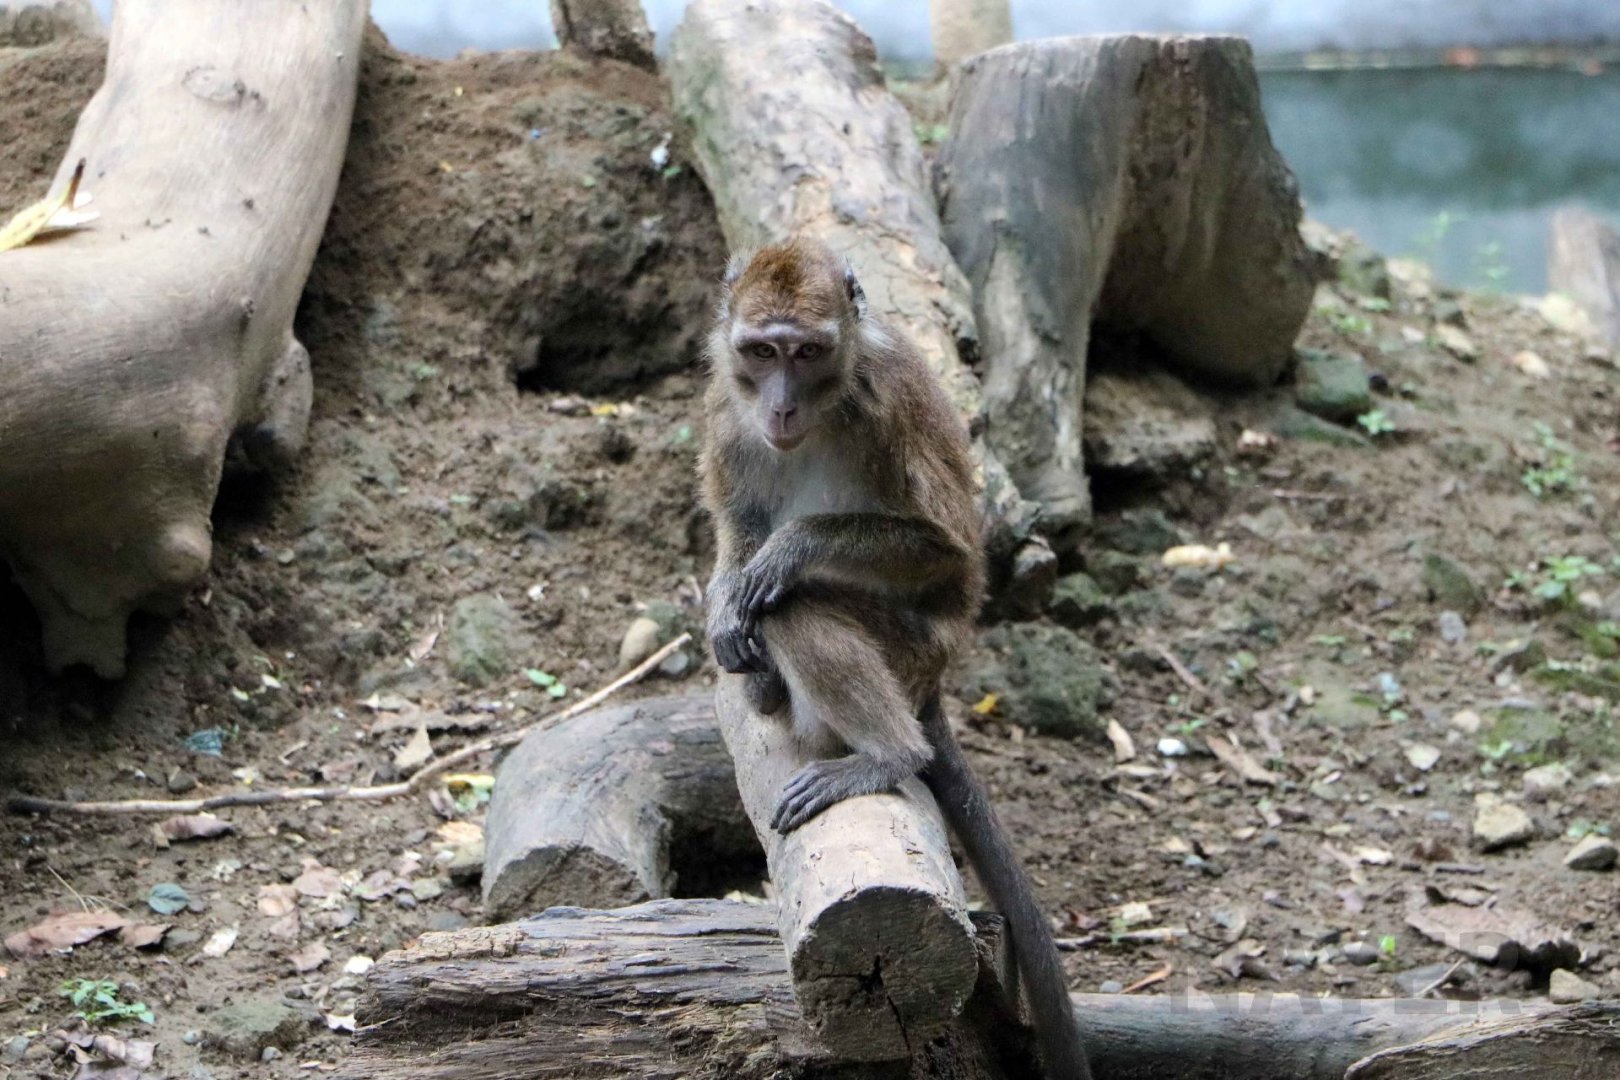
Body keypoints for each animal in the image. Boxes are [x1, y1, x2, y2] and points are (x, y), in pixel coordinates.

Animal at [698, 237, 1093, 1080]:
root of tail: (936, 682)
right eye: (761, 352)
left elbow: (948, 549)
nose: (781, 406)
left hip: (911, 650)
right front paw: (723, 610)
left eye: (808, 353)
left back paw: (888, 752)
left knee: (797, 606)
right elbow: (737, 518)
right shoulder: (724, 406)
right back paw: (764, 684)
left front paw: (788, 551)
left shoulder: (890, 402)